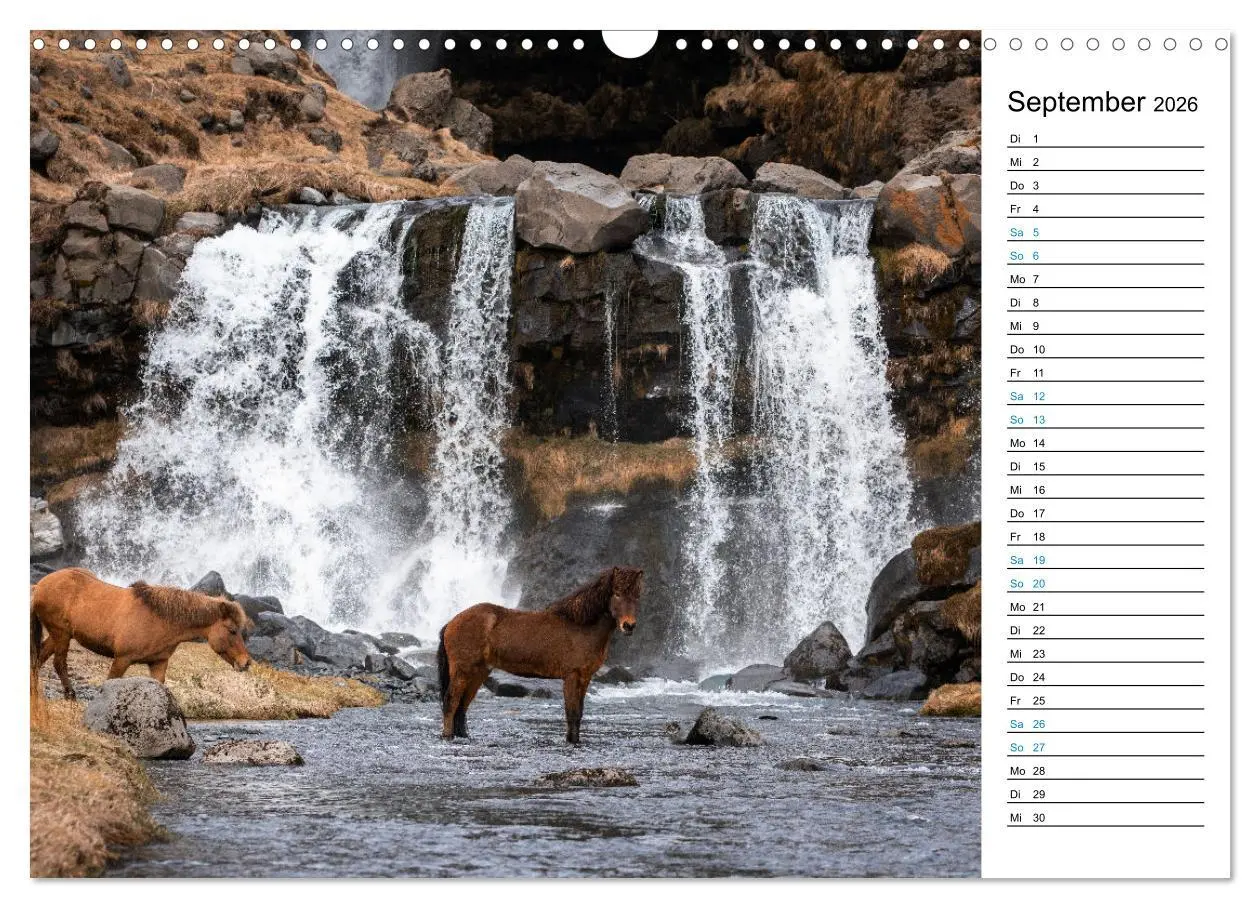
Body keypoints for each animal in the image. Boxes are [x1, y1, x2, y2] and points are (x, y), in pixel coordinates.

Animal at [31, 567, 253, 700]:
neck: (160, 618)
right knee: (58, 663)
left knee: (40, 658)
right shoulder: (122, 659)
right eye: (232, 630)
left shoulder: (158, 663)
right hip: (61, 633)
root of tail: (39, 585)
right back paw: (70, 694)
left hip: (59, 635)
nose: (246, 663)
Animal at [437, 566, 643, 744]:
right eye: (617, 593)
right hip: (462, 670)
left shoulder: (585, 678)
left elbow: (579, 713)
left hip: (479, 672)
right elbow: (572, 712)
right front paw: (571, 741)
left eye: (637, 595)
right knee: (451, 701)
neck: (581, 626)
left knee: (462, 704)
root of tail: (451, 622)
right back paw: (448, 737)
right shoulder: (572, 676)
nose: (629, 626)